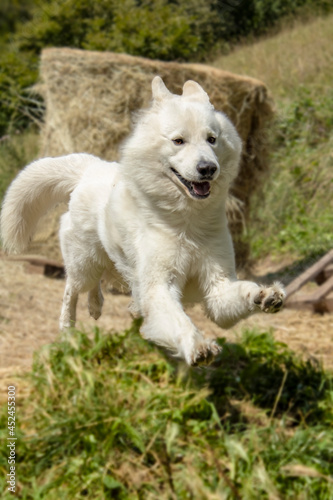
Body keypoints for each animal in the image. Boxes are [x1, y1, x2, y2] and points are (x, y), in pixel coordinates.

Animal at [0, 78, 286, 366]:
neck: (186, 224)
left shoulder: (218, 287)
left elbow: (242, 291)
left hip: (108, 262)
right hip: (85, 263)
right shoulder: (159, 287)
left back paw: (97, 306)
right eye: (178, 141)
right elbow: (179, 321)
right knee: (72, 288)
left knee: (96, 285)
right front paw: (197, 346)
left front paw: (264, 295)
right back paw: (67, 327)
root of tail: (90, 168)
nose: (208, 168)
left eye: (212, 139)